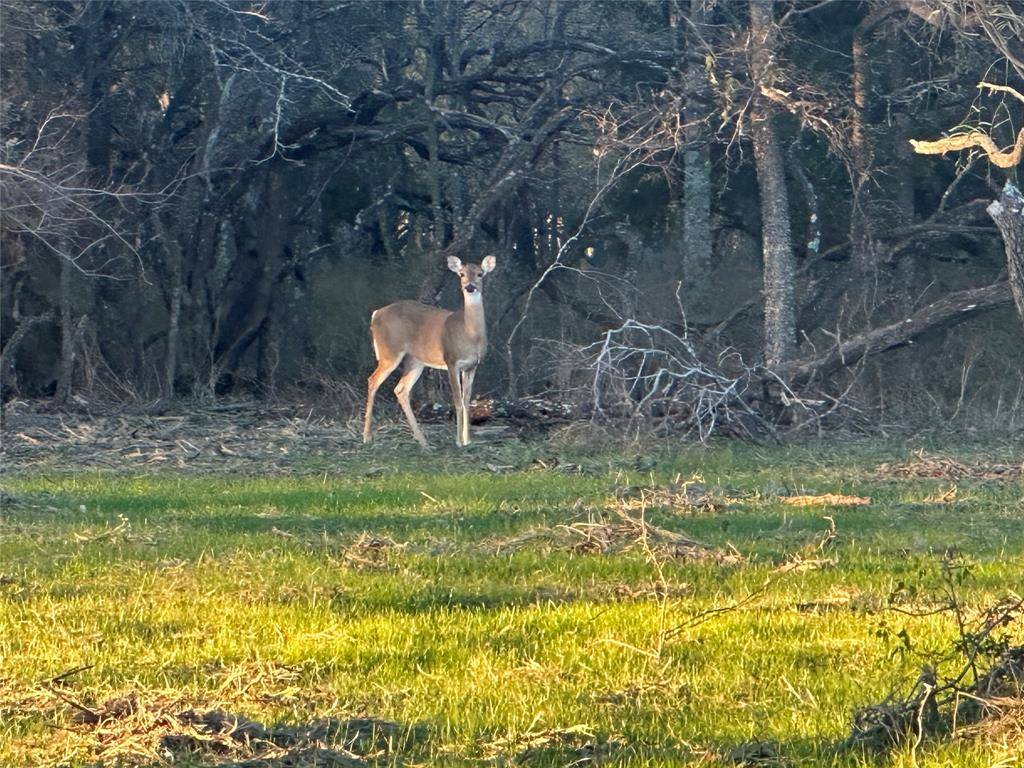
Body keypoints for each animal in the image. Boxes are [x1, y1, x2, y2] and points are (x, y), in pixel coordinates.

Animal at [364, 256, 499, 448]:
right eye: (462, 274)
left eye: (480, 274)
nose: (470, 286)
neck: (469, 334)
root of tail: (375, 314)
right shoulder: (451, 360)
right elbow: (457, 400)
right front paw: (458, 442)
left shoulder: (472, 365)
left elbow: (467, 401)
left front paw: (468, 440)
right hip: (389, 352)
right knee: (373, 380)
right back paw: (366, 437)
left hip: (415, 360)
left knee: (401, 389)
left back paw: (423, 441)